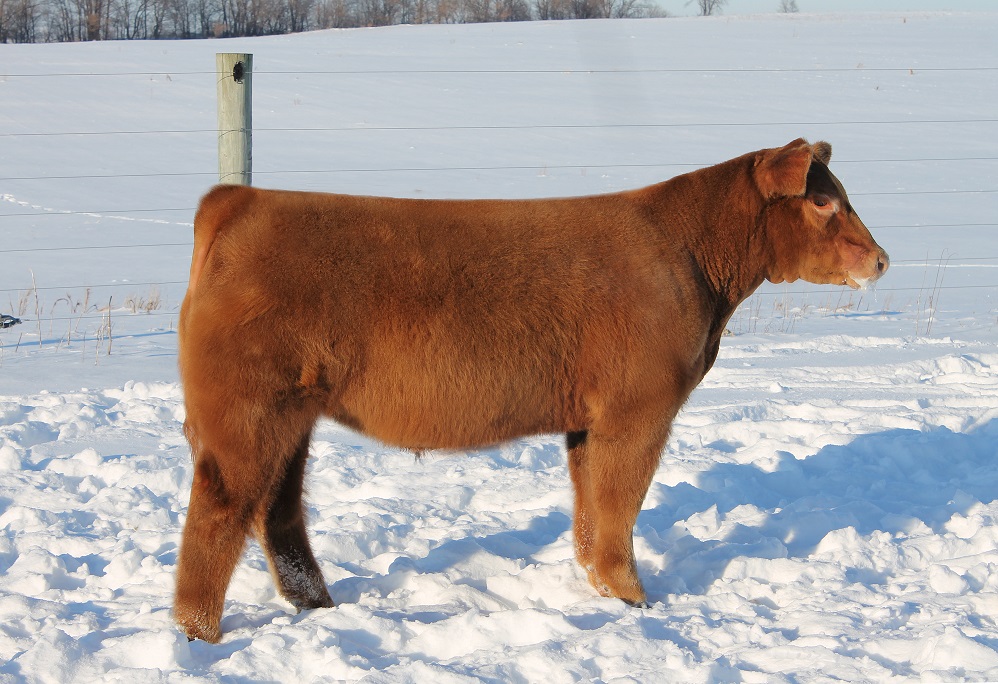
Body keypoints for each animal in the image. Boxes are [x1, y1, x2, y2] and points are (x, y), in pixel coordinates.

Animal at [174, 138, 888, 642]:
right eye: (823, 201)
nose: (881, 260)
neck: (698, 266)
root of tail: (240, 201)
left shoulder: (586, 418)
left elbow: (590, 511)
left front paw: (601, 590)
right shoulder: (639, 409)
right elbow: (620, 505)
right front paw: (635, 599)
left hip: (291, 414)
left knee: (276, 507)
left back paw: (317, 604)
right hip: (247, 408)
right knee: (220, 509)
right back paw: (199, 637)